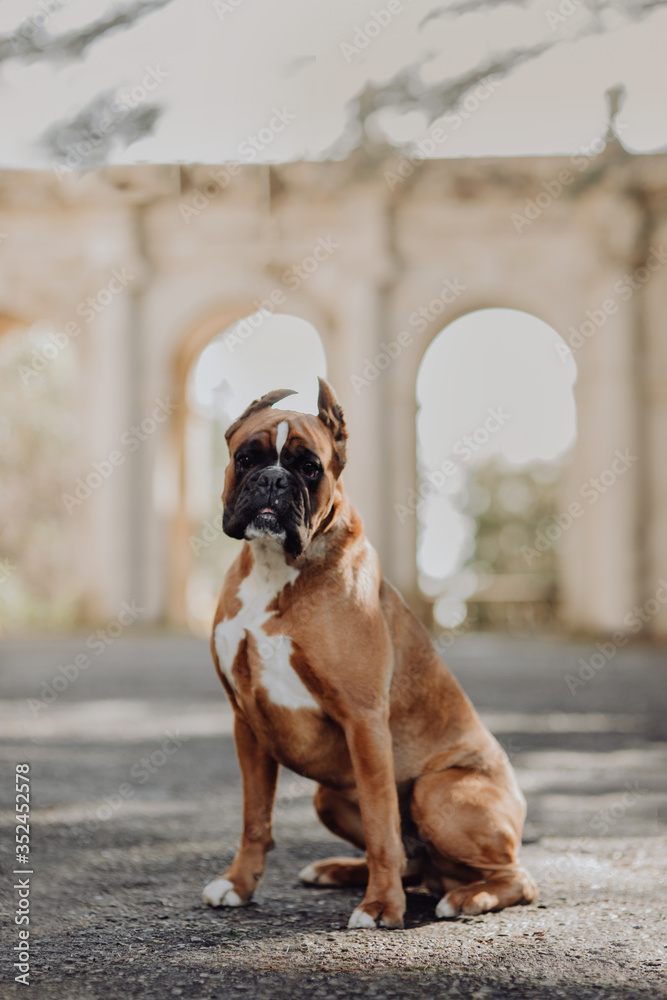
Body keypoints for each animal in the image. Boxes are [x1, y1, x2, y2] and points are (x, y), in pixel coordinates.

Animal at [204, 378, 536, 924]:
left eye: (309, 468)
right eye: (247, 457)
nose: (273, 480)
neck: (277, 568)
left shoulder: (363, 721)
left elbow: (383, 825)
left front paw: (381, 907)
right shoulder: (246, 722)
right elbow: (255, 819)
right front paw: (237, 883)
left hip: (437, 792)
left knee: (514, 876)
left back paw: (468, 897)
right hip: (327, 797)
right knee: (412, 863)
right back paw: (339, 869)